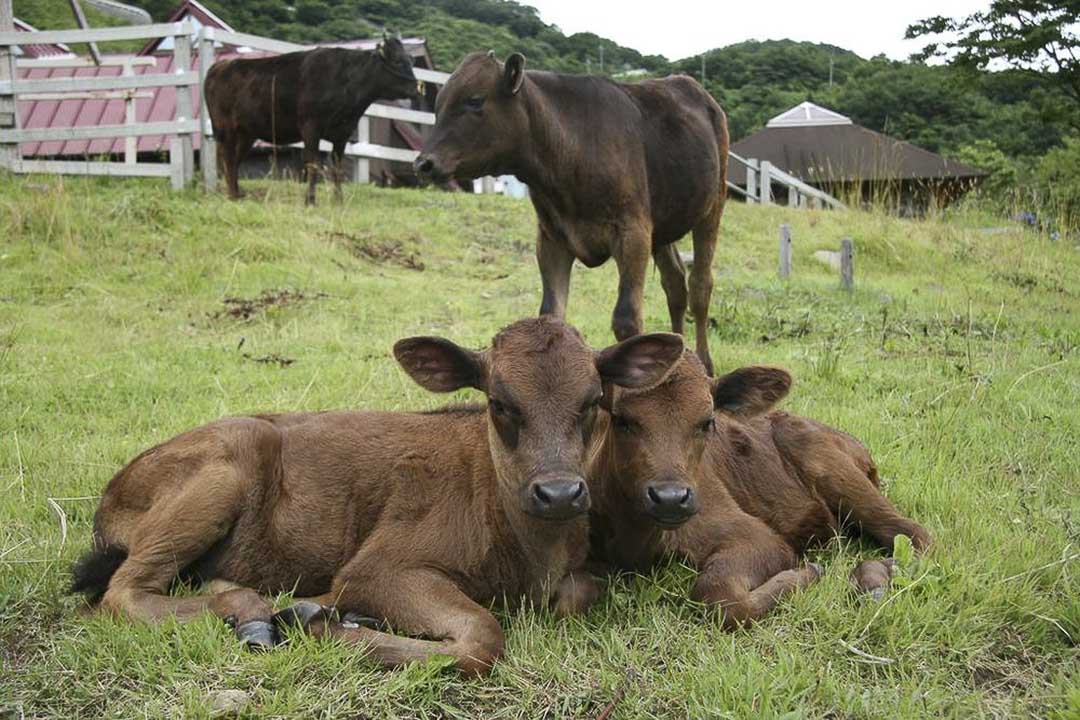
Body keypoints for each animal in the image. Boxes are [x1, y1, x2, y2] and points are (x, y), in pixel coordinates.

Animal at [69, 317, 682, 673]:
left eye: (593, 401)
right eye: (499, 403)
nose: (559, 493)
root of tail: (114, 491)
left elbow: (580, 593)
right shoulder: (376, 569)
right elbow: (483, 637)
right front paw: (326, 625)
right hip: (229, 458)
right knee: (122, 593)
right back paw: (262, 611)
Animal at [203, 36, 416, 205]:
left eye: (410, 60)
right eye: (398, 61)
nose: (415, 87)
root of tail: (220, 66)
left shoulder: (342, 133)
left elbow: (337, 167)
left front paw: (338, 200)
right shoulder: (310, 128)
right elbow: (313, 164)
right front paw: (310, 201)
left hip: (247, 133)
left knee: (234, 160)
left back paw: (236, 194)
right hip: (225, 128)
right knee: (228, 158)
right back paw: (232, 195)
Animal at [412, 53, 725, 375]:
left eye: (475, 100)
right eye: (437, 106)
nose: (423, 163)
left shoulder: (633, 231)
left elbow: (626, 320)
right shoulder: (552, 239)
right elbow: (551, 316)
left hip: (713, 203)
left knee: (700, 286)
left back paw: (704, 364)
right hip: (663, 225)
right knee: (675, 285)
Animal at [587, 356, 933, 630]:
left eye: (707, 422)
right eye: (621, 419)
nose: (670, 498)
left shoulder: (759, 538)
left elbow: (721, 597)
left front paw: (807, 573)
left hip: (835, 472)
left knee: (915, 534)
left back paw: (871, 579)